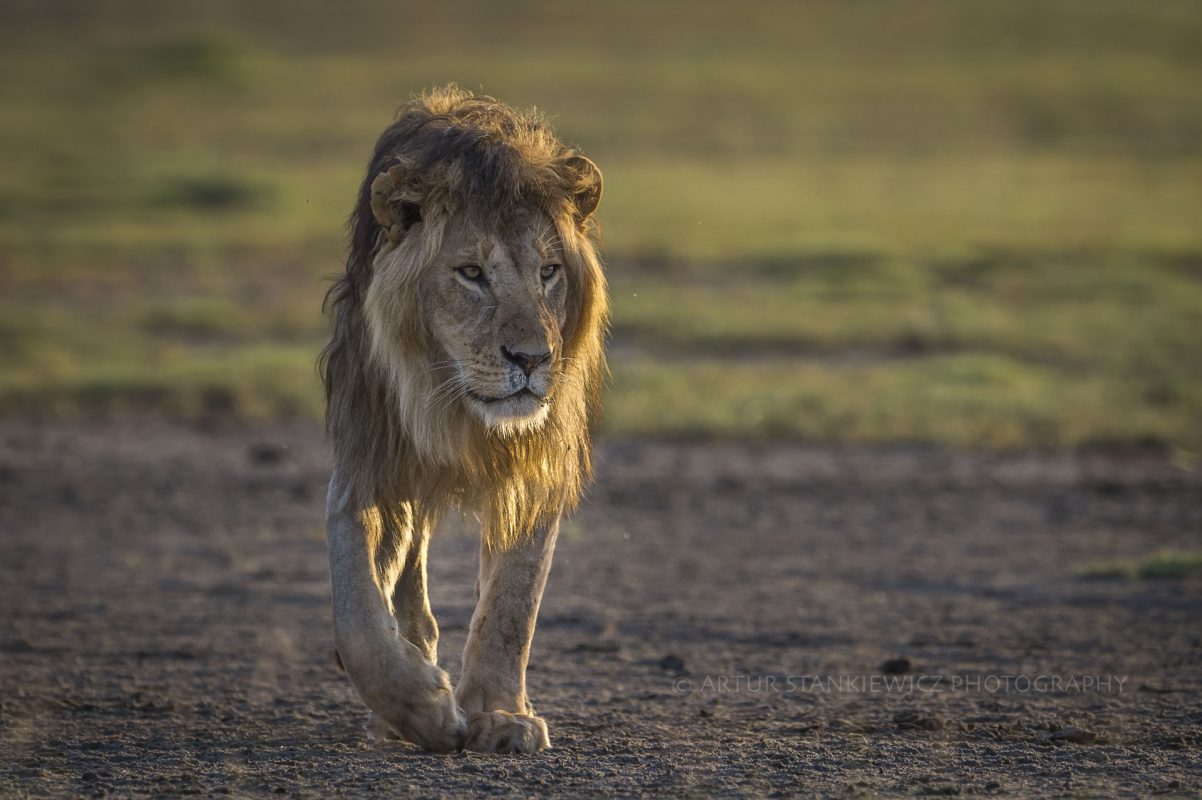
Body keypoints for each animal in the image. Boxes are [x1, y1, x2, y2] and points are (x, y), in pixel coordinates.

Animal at [317, 88, 605, 754]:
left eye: (549, 271)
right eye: (471, 273)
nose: (532, 359)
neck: (458, 406)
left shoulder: (538, 465)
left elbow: (512, 602)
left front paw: (500, 716)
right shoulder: (369, 457)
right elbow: (356, 610)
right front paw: (421, 707)